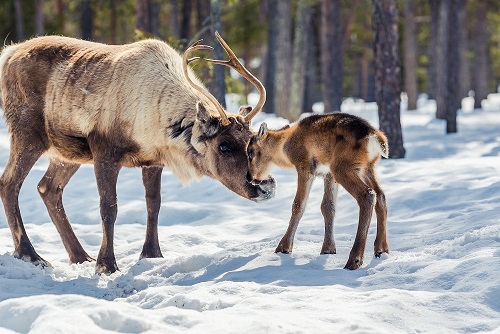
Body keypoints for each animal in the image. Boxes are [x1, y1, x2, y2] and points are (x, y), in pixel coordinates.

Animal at [247, 113, 390, 270]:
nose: (249, 177)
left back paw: (354, 260)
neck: (284, 147)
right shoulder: (327, 174)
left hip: (342, 167)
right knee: (380, 195)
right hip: (366, 168)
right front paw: (328, 249)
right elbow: (328, 206)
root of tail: (375, 138)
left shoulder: (305, 166)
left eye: (250, 152)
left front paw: (283, 247)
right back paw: (381, 250)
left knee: (368, 195)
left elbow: (298, 205)